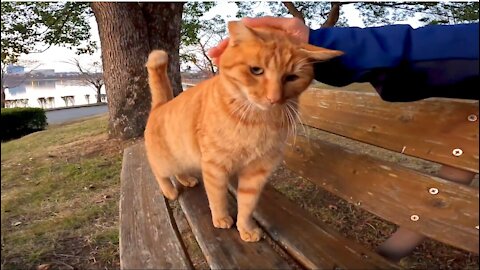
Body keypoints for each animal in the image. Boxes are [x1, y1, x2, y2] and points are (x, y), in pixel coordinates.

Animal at [143, 20, 342, 242]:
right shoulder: (215, 167)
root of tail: (160, 105)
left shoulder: (257, 172)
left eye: (291, 77)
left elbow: (247, 205)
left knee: (179, 172)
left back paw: (186, 179)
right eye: (256, 70)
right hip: (166, 160)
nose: (274, 98)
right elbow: (217, 197)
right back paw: (170, 191)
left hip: (183, 159)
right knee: (159, 174)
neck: (256, 121)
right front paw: (221, 218)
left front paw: (245, 228)